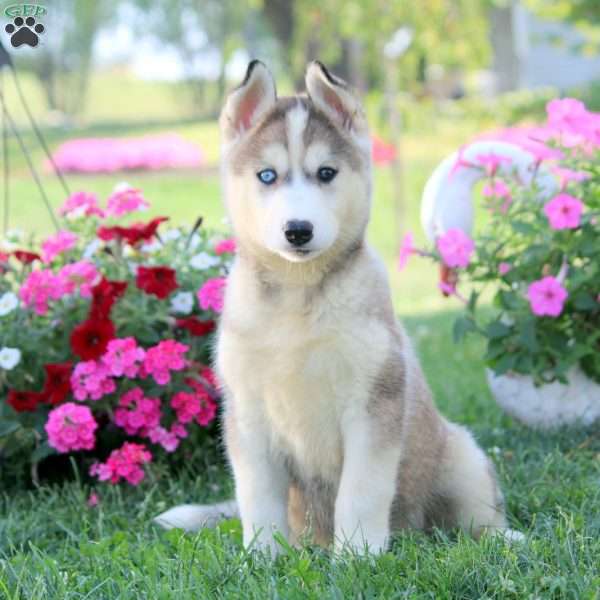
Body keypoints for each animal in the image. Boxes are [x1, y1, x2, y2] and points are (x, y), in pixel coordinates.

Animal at [156, 61, 520, 552]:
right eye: (267, 176)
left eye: (326, 172)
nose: (298, 230)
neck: (297, 299)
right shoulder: (247, 415)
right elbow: (258, 498)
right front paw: (262, 556)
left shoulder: (372, 405)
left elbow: (360, 492)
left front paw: (359, 555)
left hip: (463, 457)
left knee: (473, 518)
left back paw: (504, 540)